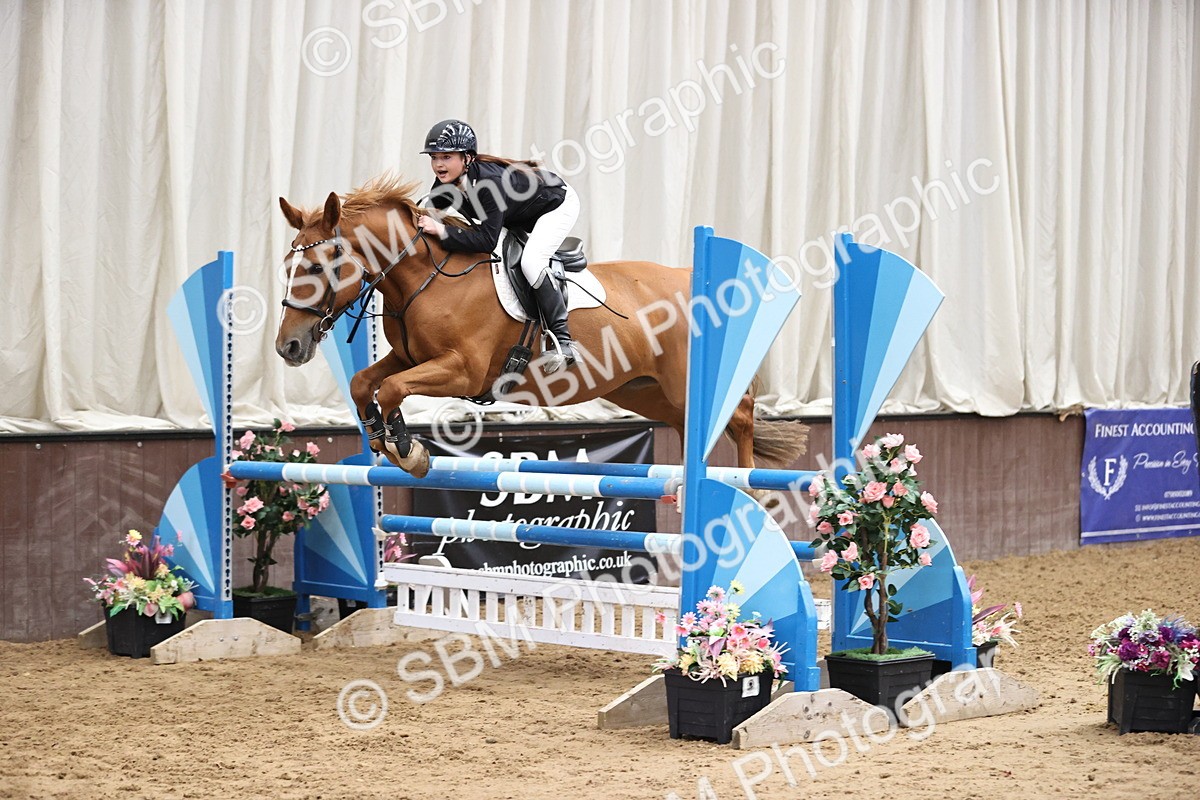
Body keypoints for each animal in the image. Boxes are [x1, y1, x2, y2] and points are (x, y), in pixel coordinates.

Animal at [274, 174, 806, 478]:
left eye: (317, 267)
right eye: (287, 266)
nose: (288, 348)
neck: (424, 276)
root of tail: (693, 279)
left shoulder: (463, 370)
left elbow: (393, 388)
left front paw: (407, 451)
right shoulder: (410, 357)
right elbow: (367, 383)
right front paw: (381, 438)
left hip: (682, 382)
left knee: (740, 415)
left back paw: (753, 491)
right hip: (645, 391)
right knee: (693, 424)